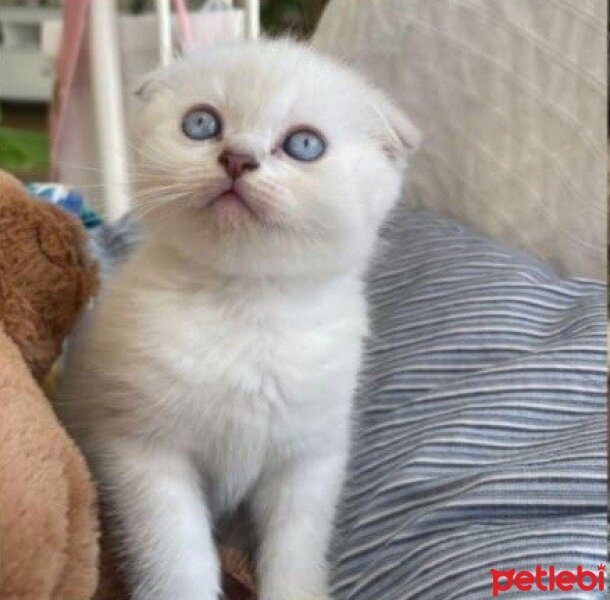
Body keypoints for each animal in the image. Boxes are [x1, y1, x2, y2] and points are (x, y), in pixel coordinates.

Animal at [58, 38, 418, 600]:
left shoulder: (309, 460)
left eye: (305, 145)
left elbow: (294, 553)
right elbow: (177, 555)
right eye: (201, 123)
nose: (238, 159)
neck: (243, 308)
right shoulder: (143, 448)